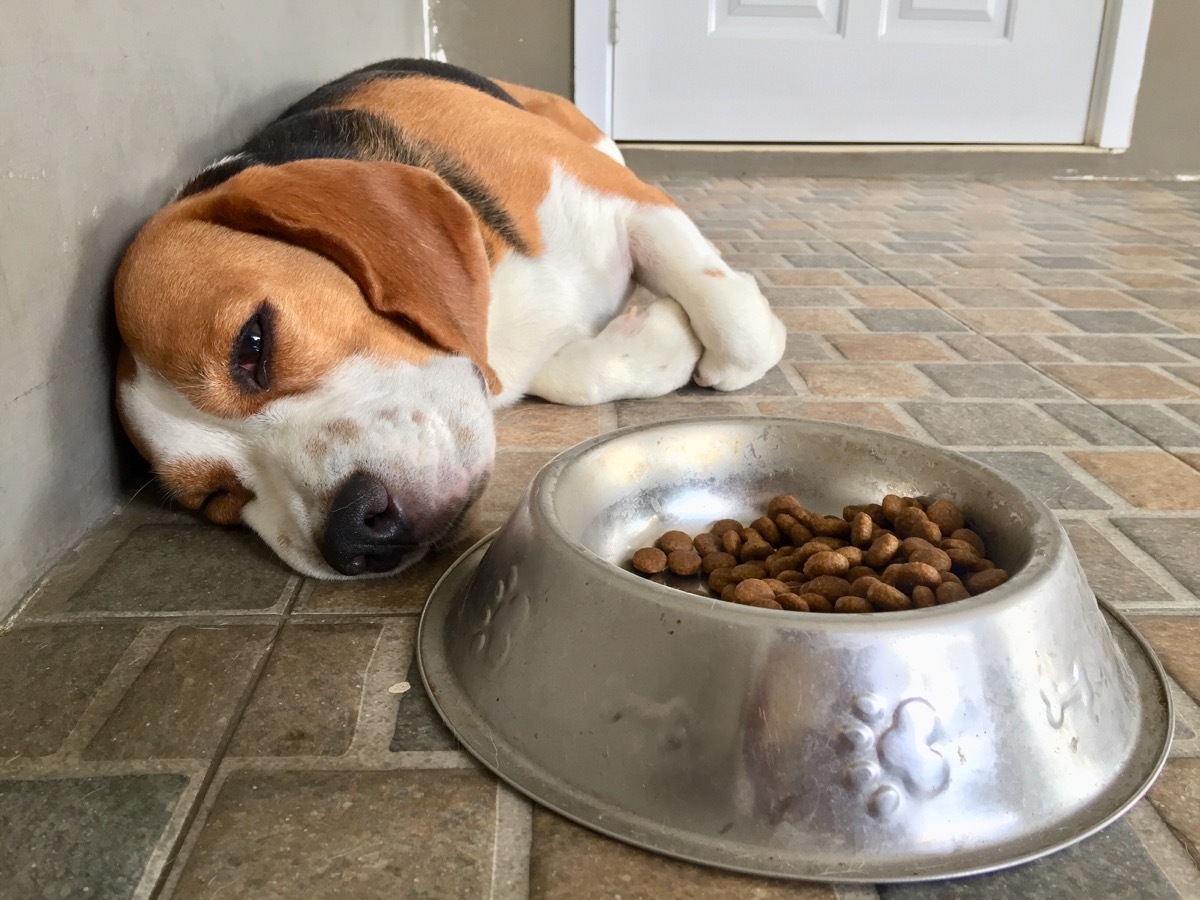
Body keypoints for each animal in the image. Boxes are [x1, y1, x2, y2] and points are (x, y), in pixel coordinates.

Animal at [114, 58, 787, 578]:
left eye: (252, 343)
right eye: (216, 499)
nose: (356, 534)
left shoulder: (615, 194)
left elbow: (741, 332)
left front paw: (710, 334)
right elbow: (568, 375)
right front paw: (663, 334)